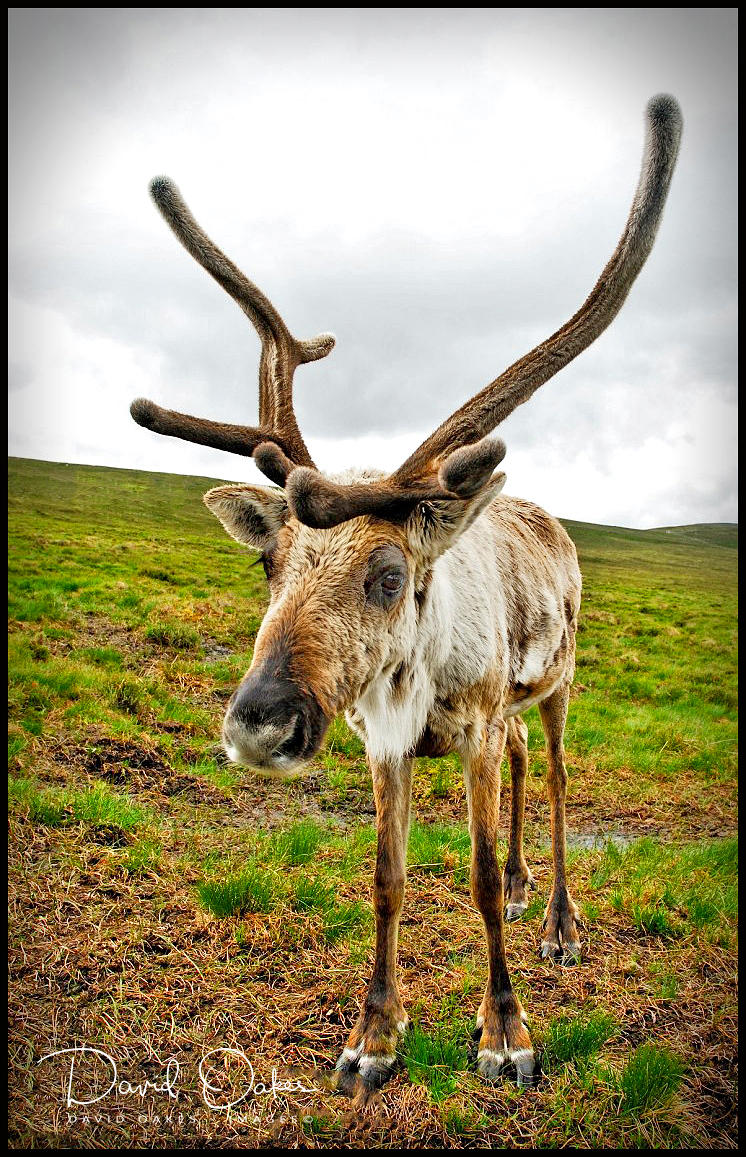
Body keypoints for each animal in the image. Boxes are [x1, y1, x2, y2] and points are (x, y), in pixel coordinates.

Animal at [130, 94, 682, 1093]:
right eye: (268, 565)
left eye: (388, 575)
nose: (257, 723)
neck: (414, 680)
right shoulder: (386, 744)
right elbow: (386, 881)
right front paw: (373, 1037)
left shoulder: (474, 727)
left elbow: (473, 872)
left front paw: (506, 1032)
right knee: (523, 767)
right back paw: (527, 888)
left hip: (559, 683)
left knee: (553, 774)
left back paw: (558, 919)